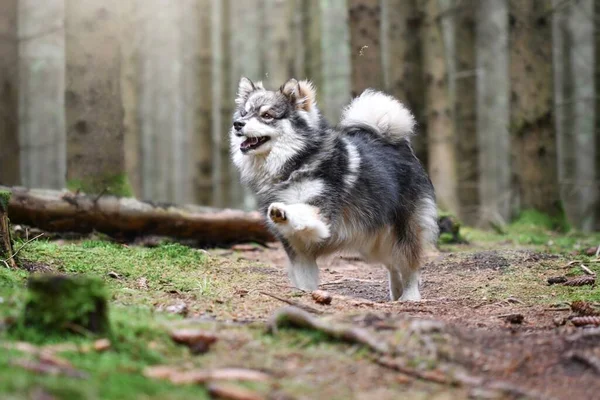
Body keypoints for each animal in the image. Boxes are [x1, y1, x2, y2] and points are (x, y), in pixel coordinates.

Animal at [230, 76, 436, 300]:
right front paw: (306, 294)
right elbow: (305, 278)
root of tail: (397, 143)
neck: (296, 161)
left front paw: (281, 211)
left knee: (409, 265)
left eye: (267, 115)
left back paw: (409, 296)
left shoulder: (321, 214)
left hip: (404, 230)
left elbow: (300, 210)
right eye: (245, 113)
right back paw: (396, 294)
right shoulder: (297, 246)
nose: (237, 124)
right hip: (374, 240)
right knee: (392, 264)